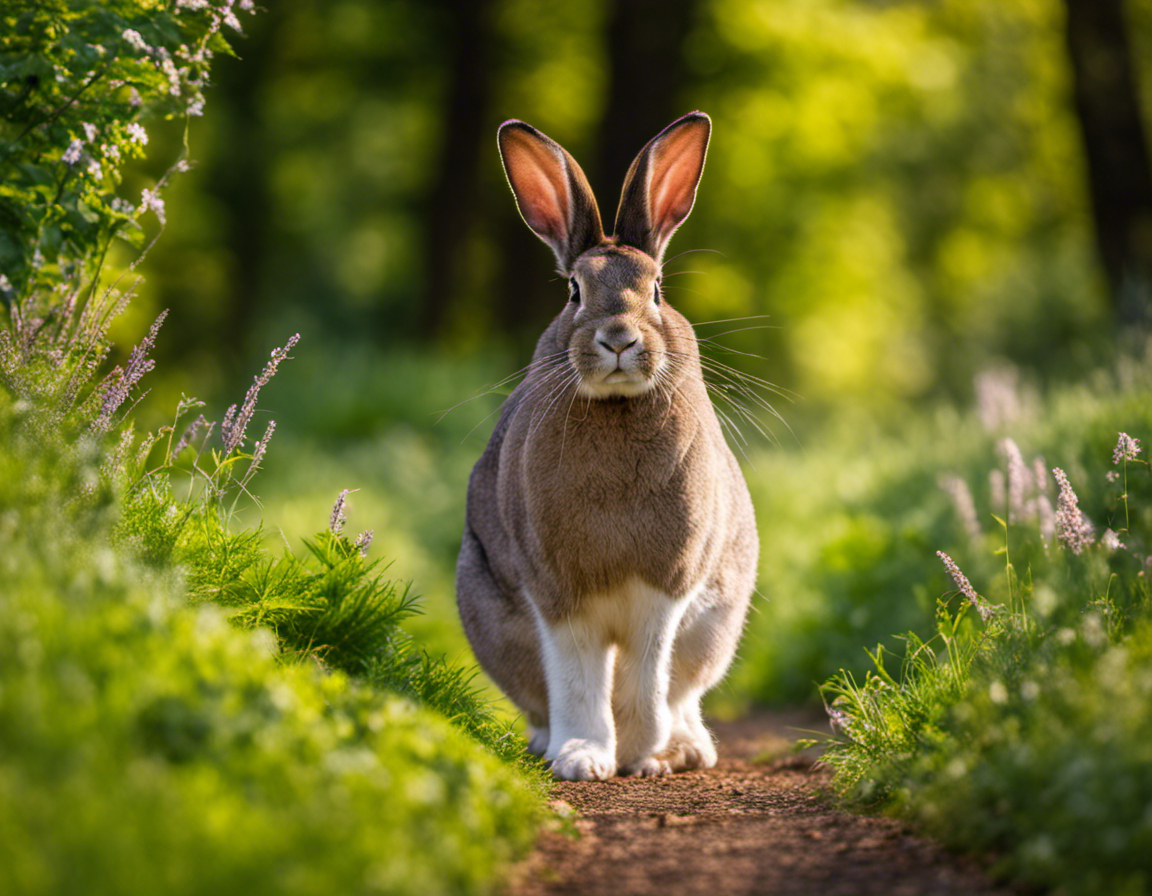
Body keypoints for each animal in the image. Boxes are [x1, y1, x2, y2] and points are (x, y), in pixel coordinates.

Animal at [456, 111, 758, 781]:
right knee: (542, 701)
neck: (616, 407)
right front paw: (585, 759)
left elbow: (644, 674)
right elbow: (578, 677)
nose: (619, 338)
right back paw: (554, 746)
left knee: (682, 692)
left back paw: (684, 748)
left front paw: (640, 758)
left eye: (658, 289)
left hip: (717, 627)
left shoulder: (665, 587)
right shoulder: (557, 592)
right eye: (574, 291)